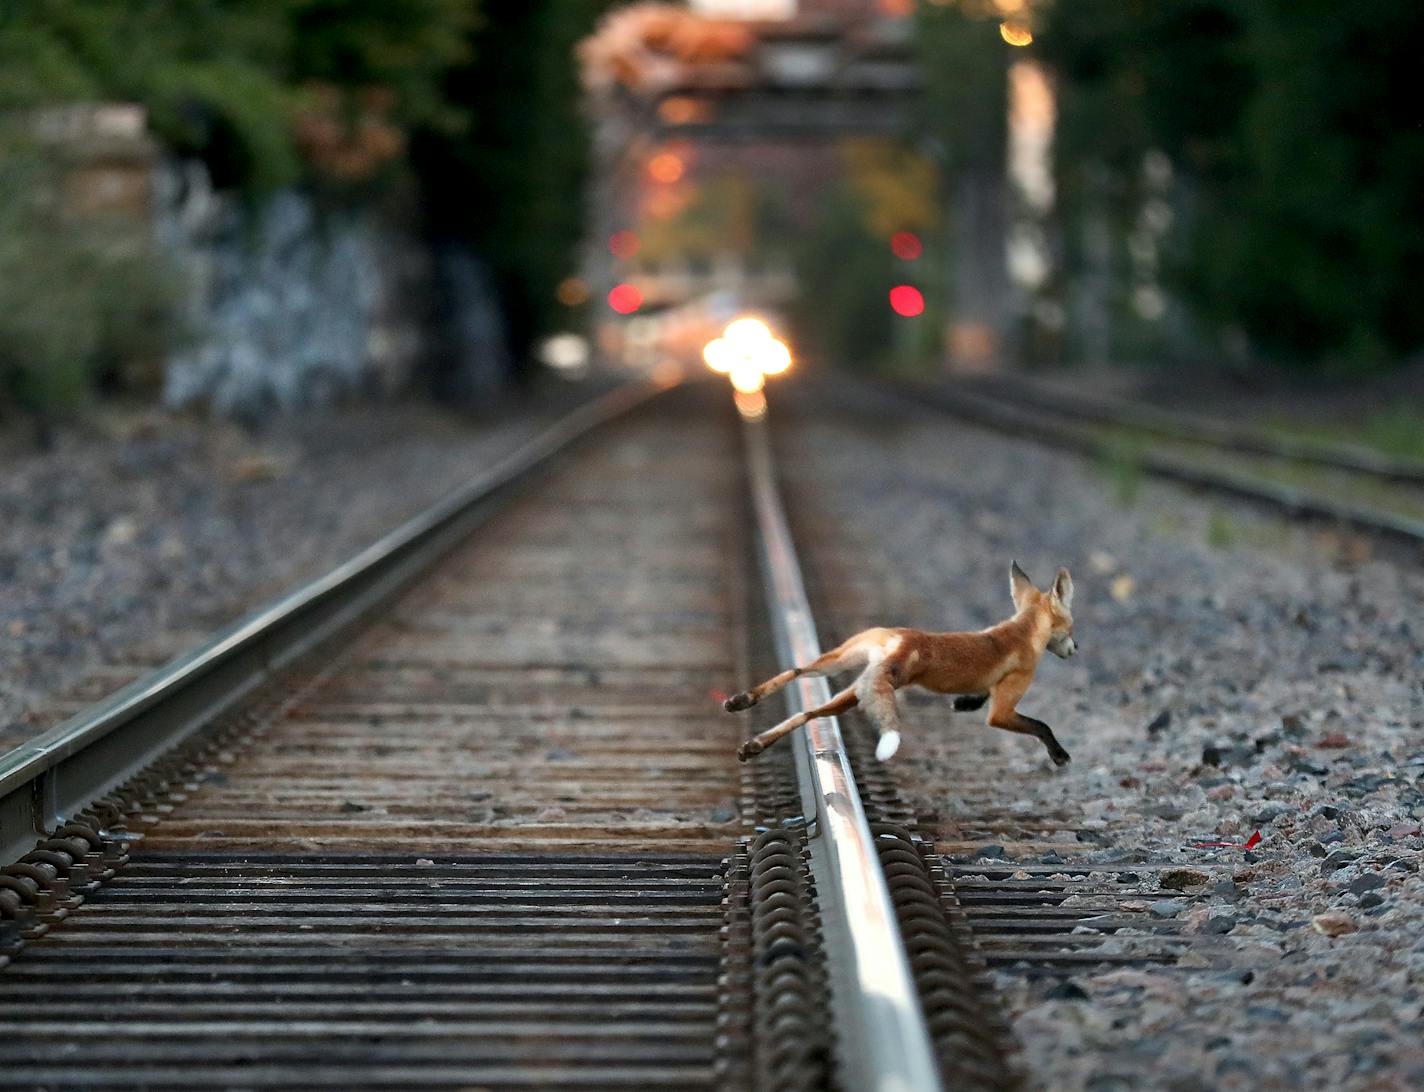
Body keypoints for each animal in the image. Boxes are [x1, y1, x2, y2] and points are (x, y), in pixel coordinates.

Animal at [723, 563, 1076, 768]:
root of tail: (901, 641)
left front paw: (965, 703)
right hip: (857, 692)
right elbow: (1041, 725)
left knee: (796, 677)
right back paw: (754, 744)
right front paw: (1058, 754)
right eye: (1072, 628)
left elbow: (981, 694)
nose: (1076, 649)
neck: (1021, 632)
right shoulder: (1003, 709)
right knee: (807, 713)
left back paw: (743, 706)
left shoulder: (995, 688)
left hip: (840, 665)